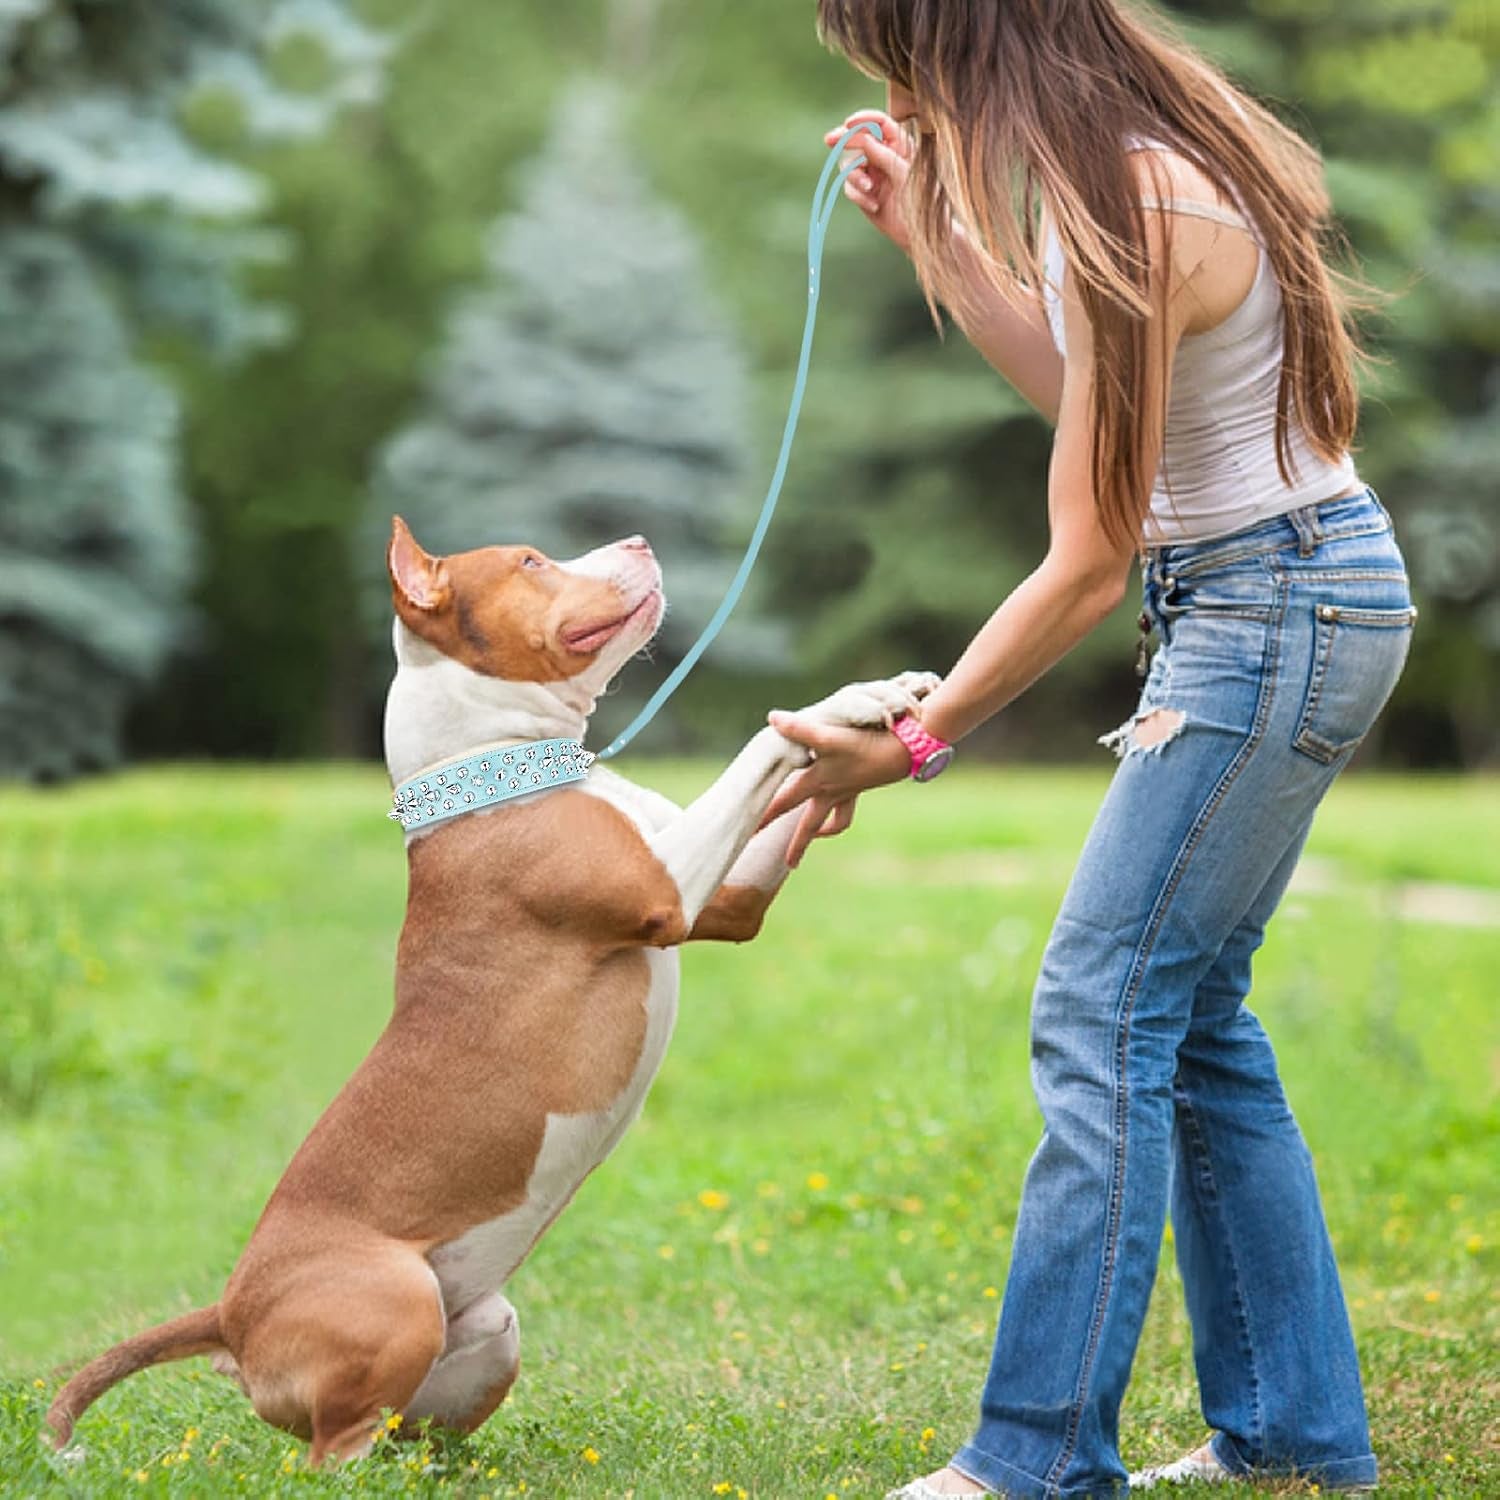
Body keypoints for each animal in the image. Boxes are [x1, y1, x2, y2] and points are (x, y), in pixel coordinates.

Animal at [46, 516, 930, 1464]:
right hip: (394, 1300)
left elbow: (776, 803)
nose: (639, 538)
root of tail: (229, 1313)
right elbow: (757, 752)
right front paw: (851, 707)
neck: (498, 757)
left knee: (408, 1432)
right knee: (332, 1454)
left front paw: (876, 695)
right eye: (531, 562)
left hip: (487, 1330)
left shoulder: (729, 901)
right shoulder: (664, 890)